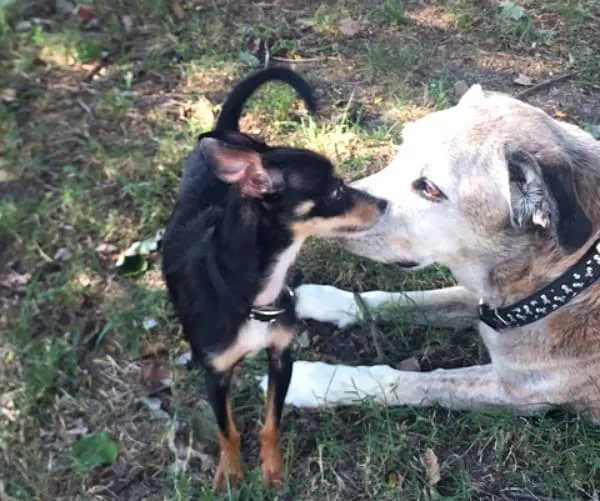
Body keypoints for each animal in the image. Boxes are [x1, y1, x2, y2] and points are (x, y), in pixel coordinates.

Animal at [161, 68, 384, 490]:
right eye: (335, 190)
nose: (383, 203)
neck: (253, 300)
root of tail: (227, 131)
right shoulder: (215, 377)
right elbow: (227, 431)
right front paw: (231, 473)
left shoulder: (282, 358)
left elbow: (270, 424)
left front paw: (273, 471)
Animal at [268, 84, 600, 420]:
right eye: (402, 148)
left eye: (429, 188)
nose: (332, 205)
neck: (565, 277)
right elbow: (407, 300)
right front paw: (328, 301)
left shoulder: (517, 392)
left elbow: (409, 381)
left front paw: (314, 381)